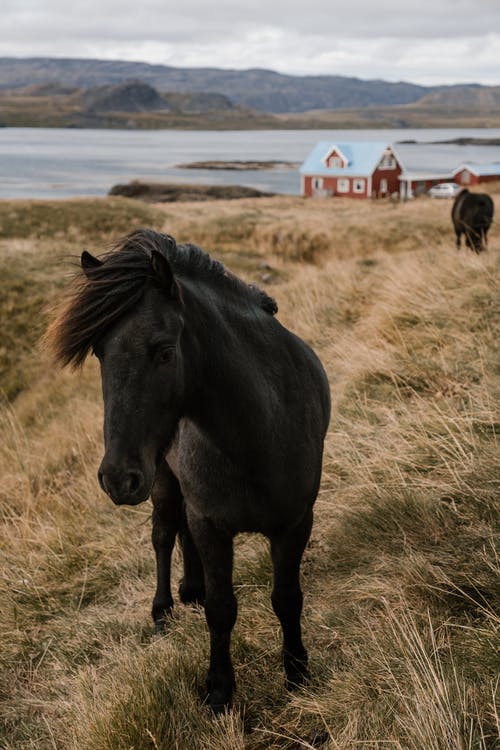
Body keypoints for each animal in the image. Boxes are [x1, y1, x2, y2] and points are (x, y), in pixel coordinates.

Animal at [48, 231, 330, 716]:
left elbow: (287, 598)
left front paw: (296, 673)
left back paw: (190, 588)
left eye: (164, 351)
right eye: (100, 353)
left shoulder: (294, 523)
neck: (257, 434)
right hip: (161, 479)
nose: (116, 478)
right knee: (164, 534)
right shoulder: (211, 523)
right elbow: (222, 608)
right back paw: (163, 611)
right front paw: (219, 690)